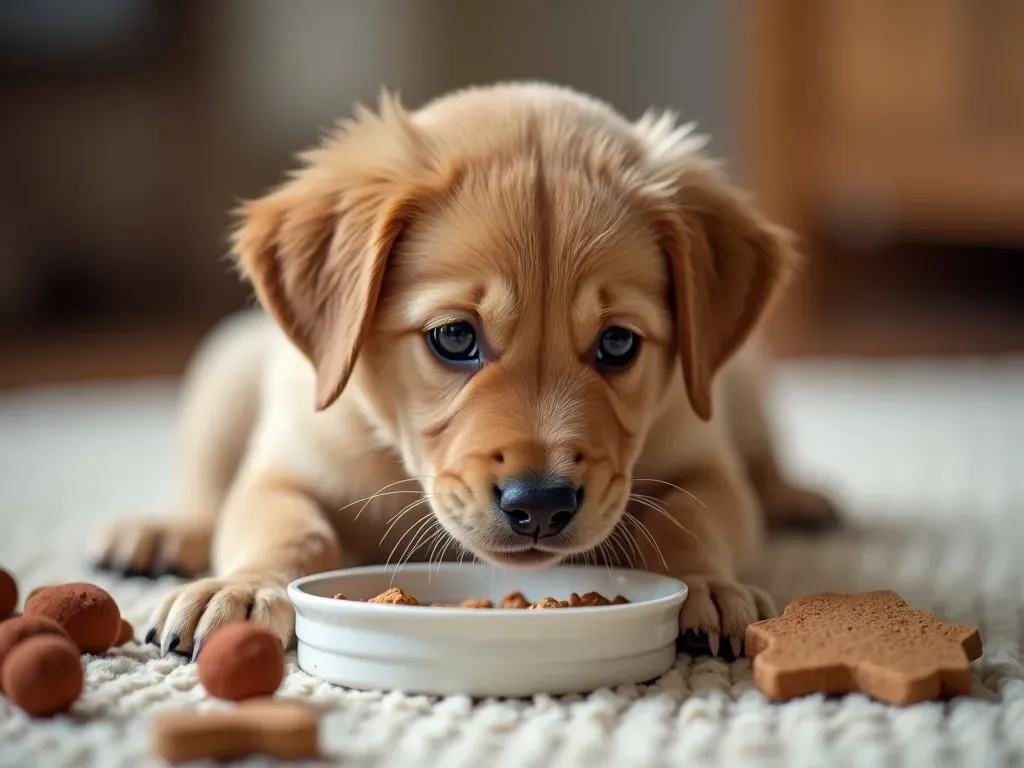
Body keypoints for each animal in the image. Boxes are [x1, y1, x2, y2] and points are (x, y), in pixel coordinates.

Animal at [92, 83, 835, 663]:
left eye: (619, 343)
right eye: (454, 337)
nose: (542, 504)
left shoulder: (704, 460)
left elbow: (689, 520)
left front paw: (707, 585)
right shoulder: (290, 465)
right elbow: (286, 525)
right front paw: (243, 588)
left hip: (743, 380)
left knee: (763, 463)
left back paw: (797, 496)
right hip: (225, 371)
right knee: (205, 492)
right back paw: (162, 534)